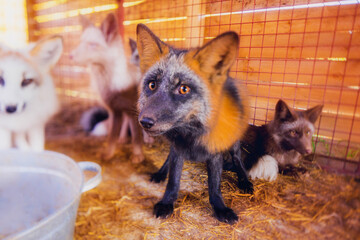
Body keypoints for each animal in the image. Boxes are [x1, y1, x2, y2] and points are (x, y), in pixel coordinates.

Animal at [69, 13, 144, 163]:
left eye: (92, 45)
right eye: (81, 42)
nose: (70, 55)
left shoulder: (133, 111)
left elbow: (136, 136)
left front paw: (138, 154)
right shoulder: (115, 111)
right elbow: (112, 137)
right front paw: (108, 154)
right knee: (125, 124)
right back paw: (123, 138)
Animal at [136, 23, 252, 224]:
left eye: (184, 89)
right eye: (152, 85)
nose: (145, 121)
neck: (192, 136)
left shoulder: (215, 152)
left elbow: (214, 186)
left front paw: (220, 208)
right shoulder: (178, 149)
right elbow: (173, 181)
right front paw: (166, 203)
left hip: (233, 141)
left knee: (238, 158)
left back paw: (244, 180)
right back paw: (160, 173)